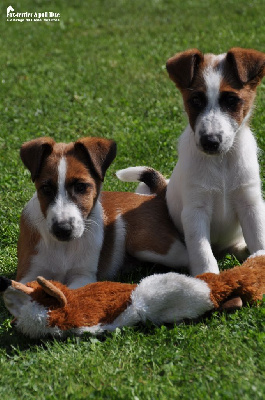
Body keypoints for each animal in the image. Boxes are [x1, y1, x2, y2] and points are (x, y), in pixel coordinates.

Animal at [17, 138, 188, 288]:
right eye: (46, 189)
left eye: (81, 187)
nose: (62, 229)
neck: (63, 247)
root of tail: (155, 196)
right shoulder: (28, 275)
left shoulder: (84, 276)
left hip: (150, 245)